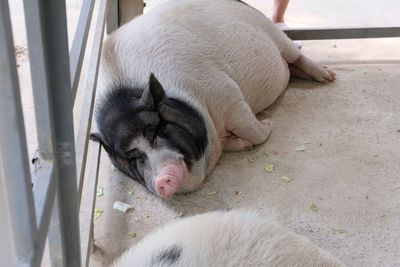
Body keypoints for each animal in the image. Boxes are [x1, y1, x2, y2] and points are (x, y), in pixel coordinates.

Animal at [90, 0, 334, 198]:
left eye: (158, 131)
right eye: (134, 158)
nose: (162, 180)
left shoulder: (227, 94)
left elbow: (253, 130)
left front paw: (268, 125)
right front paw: (243, 145)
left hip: (273, 32)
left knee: (295, 55)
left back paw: (328, 77)